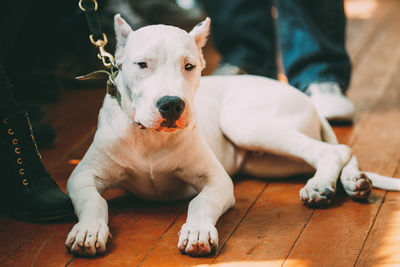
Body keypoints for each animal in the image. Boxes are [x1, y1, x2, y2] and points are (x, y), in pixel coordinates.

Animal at [65, 15, 400, 258]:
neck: (150, 139)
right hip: (269, 162)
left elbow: (200, 203)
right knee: (339, 151)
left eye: (189, 66)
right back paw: (353, 182)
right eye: (141, 65)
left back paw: (322, 186)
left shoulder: (217, 181)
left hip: (246, 124)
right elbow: (95, 202)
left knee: (334, 150)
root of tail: (307, 100)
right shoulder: (82, 177)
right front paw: (88, 230)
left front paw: (197, 231)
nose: (172, 104)